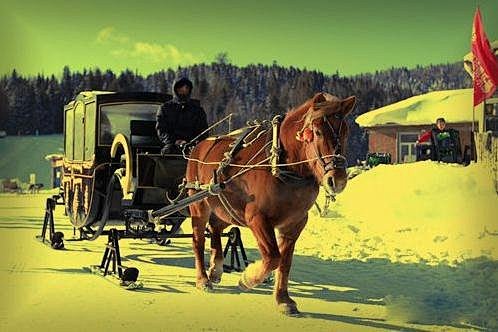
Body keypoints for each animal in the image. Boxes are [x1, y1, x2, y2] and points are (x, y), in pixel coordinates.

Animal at [186, 92, 354, 316]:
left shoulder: (295, 223)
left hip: (224, 208)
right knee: (198, 240)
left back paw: (216, 269)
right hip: (199, 205)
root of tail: (199, 145)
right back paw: (203, 279)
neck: (281, 165)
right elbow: (273, 257)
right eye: (317, 132)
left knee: (215, 229)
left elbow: (285, 262)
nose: (338, 180)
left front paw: (283, 299)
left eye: (345, 133)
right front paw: (247, 279)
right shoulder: (257, 218)